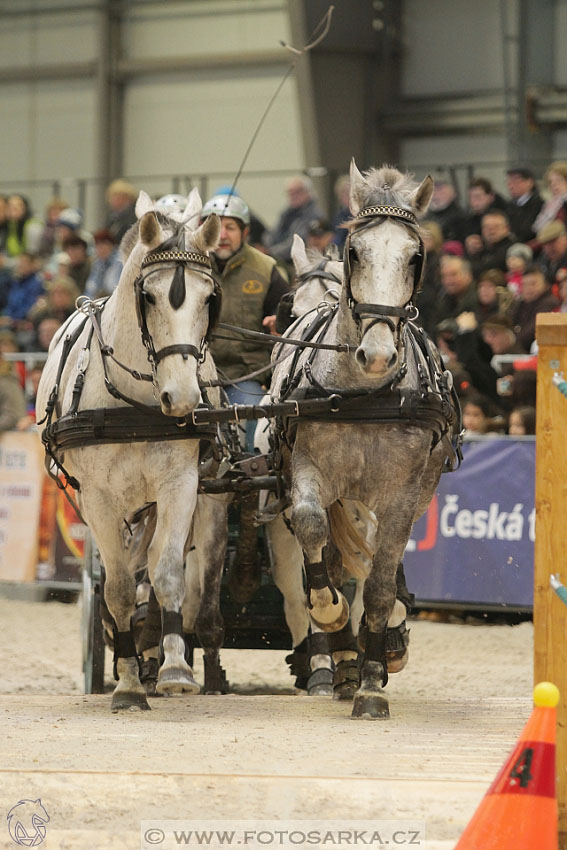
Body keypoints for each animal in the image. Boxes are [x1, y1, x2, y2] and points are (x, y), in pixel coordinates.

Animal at [268, 161, 460, 716]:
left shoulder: (401, 495)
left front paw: (374, 682)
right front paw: (330, 616)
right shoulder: (308, 475)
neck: (360, 394)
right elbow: (314, 536)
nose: (376, 354)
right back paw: (339, 660)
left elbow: (378, 583)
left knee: (377, 561)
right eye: (356, 251)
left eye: (416, 256)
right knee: (332, 558)